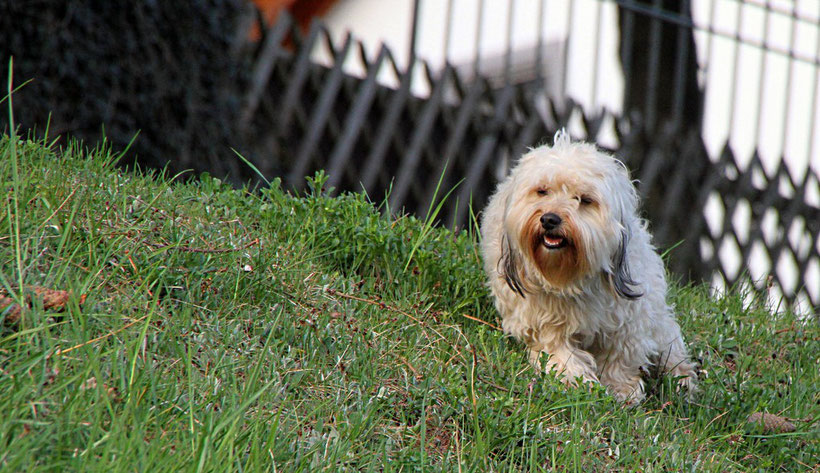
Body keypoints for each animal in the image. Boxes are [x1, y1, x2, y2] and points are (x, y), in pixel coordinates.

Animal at [480, 130, 700, 402]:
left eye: (584, 200)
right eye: (542, 191)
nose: (549, 219)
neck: (570, 277)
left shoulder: (630, 320)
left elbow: (621, 355)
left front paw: (622, 389)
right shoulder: (540, 321)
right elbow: (558, 351)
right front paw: (576, 379)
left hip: (661, 324)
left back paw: (682, 379)